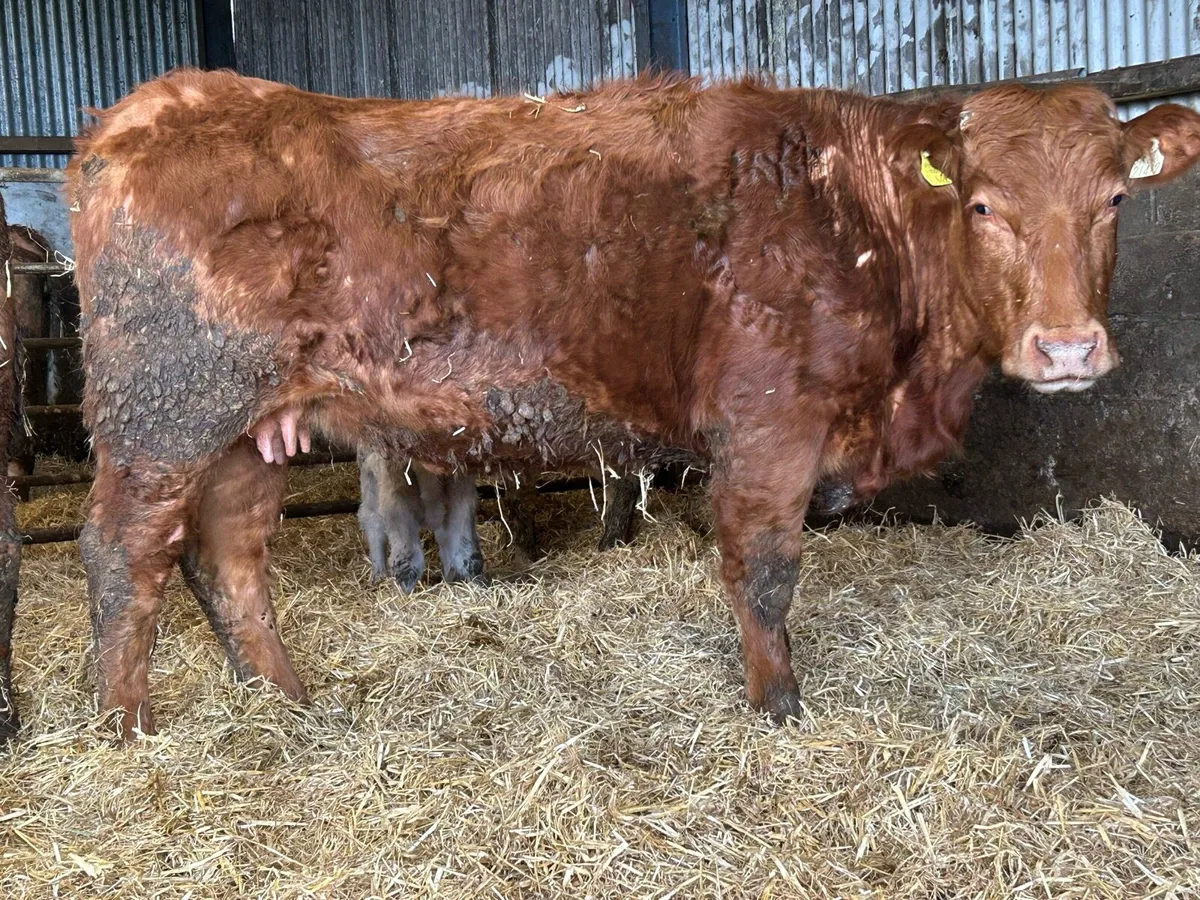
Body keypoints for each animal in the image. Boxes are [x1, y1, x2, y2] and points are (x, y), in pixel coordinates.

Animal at [67, 69, 1200, 739]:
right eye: (981, 204)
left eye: (1114, 199)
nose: (1067, 345)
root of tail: (150, 109)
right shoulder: (769, 427)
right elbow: (764, 572)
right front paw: (779, 707)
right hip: (162, 413)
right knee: (125, 552)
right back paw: (126, 729)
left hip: (250, 429)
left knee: (227, 556)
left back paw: (288, 705)